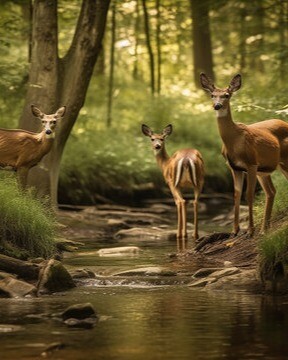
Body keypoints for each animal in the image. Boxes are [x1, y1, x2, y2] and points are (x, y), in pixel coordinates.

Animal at [200, 73, 288, 236]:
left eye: (226, 95)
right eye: (212, 95)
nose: (217, 105)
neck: (235, 141)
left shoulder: (251, 163)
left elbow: (249, 194)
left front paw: (250, 230)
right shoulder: (234, 167)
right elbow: (236, 195)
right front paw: (235, 230)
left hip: (282, 161)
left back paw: (261, 229)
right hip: (266, 169)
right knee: (271, 191)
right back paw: (264, 229)